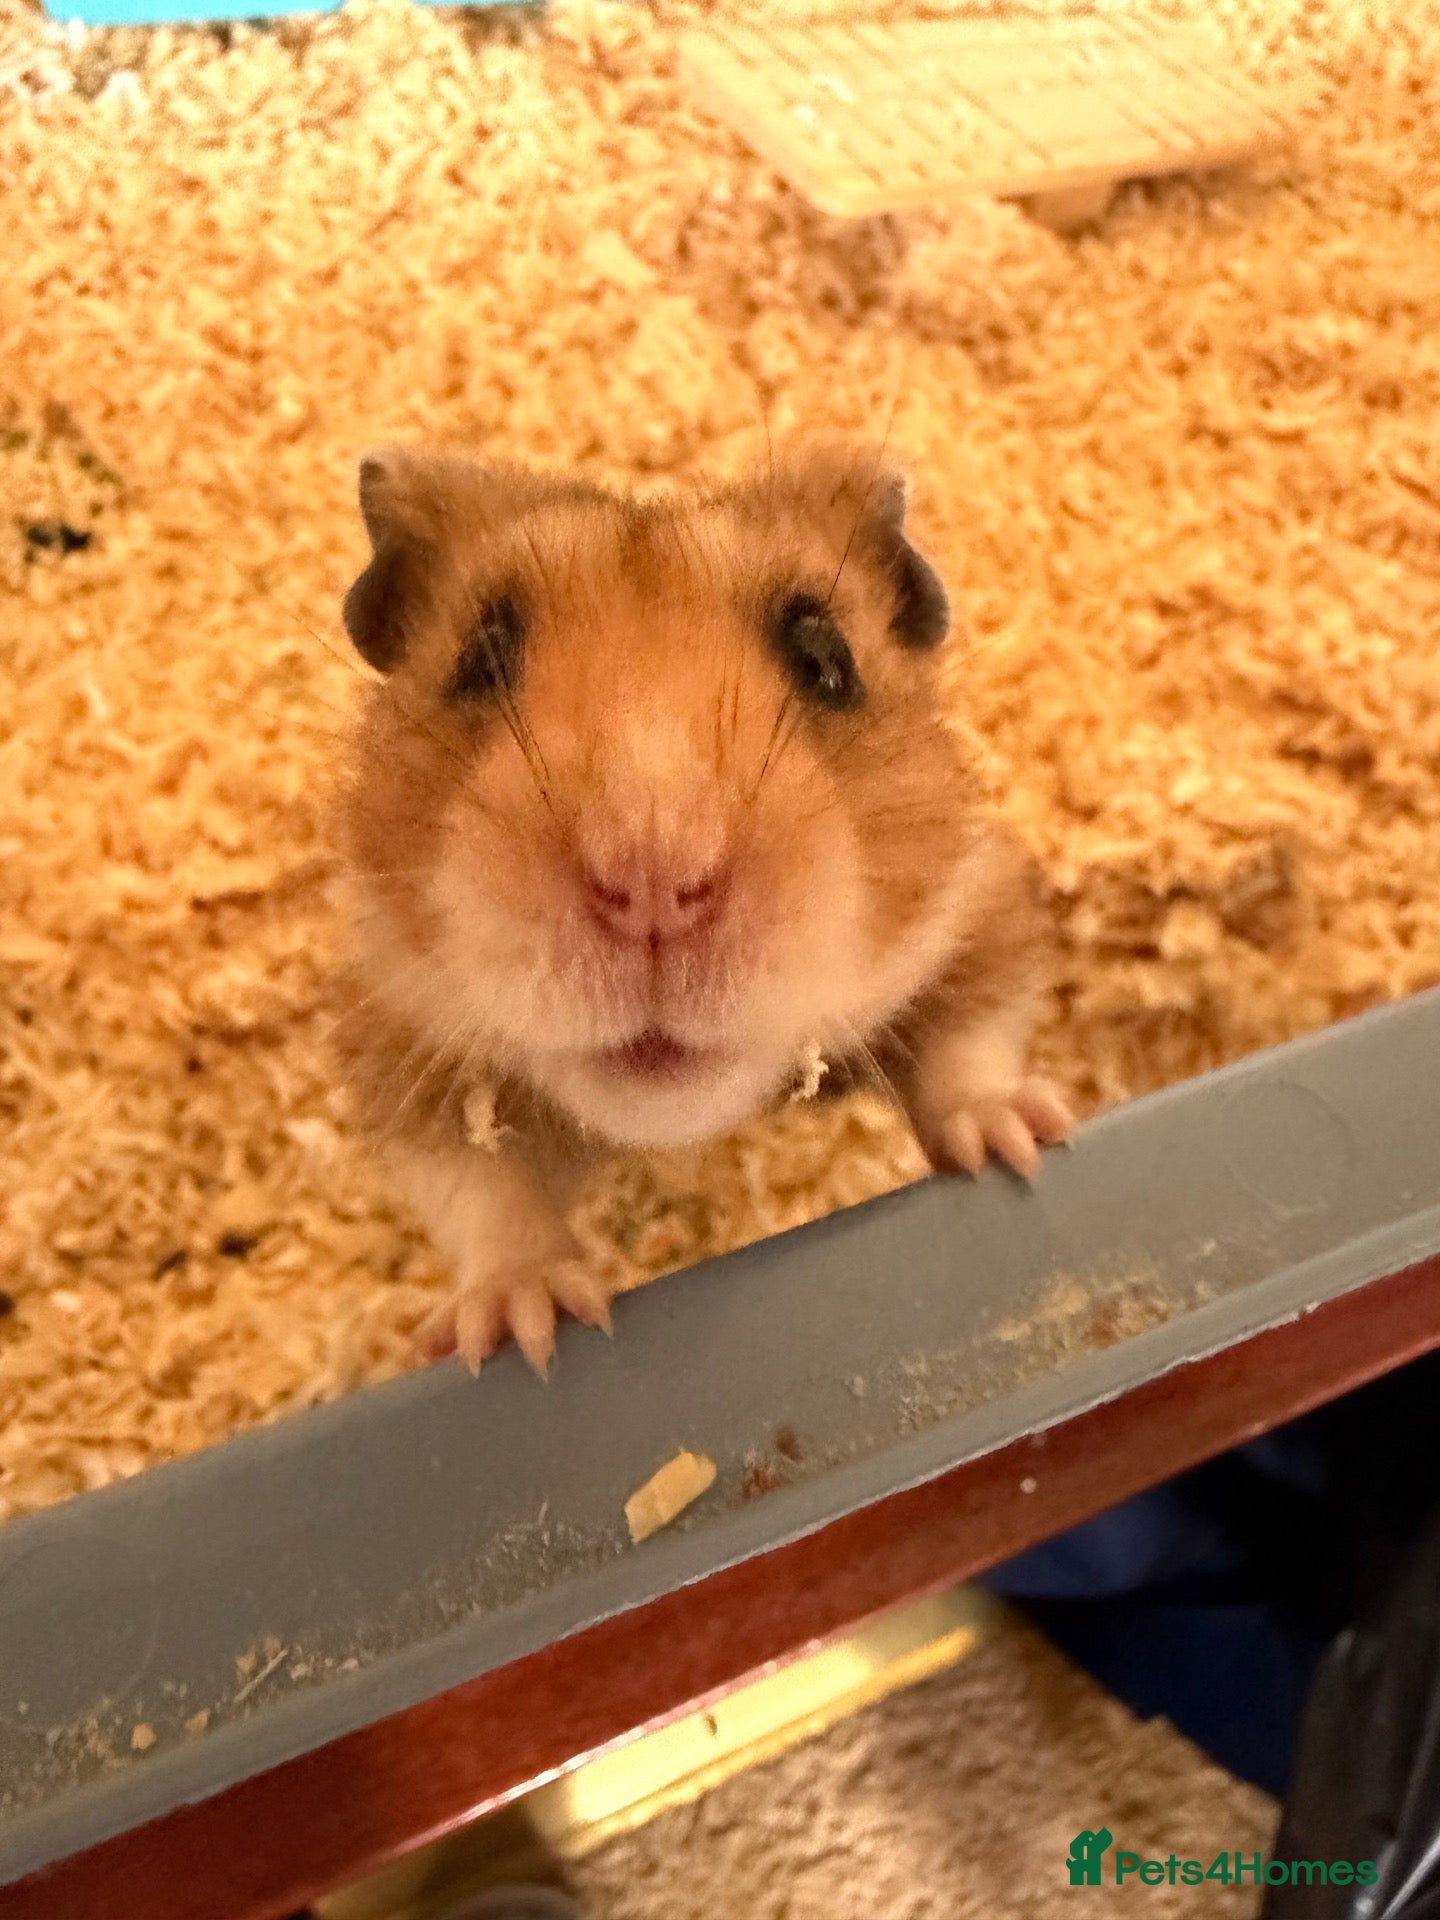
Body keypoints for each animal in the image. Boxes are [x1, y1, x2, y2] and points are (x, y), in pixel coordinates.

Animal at [333, 444, 1073, 1377]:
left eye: (825, 657)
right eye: (479, 657)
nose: (653, 878)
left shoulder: (979, 909)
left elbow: (971, 1044)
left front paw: (1022, 1143)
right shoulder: (393, 1036)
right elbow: (482, 1196)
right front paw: (517, 1332)